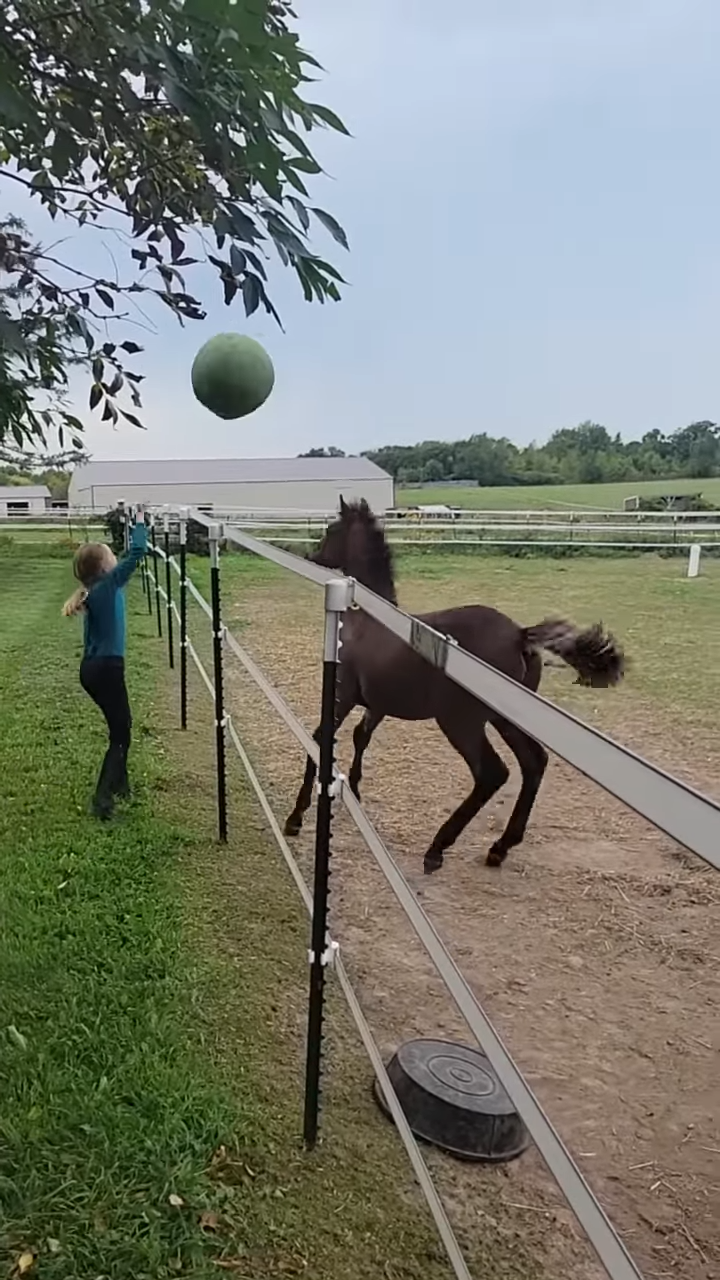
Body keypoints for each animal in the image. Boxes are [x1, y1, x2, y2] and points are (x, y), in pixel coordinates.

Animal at [281, 494, 622, 875]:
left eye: (332, 530)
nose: (313, 555)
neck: (370, 618)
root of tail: (520, 634)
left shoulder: (344, 695)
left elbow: (319, 737)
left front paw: (295, 817)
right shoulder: (378, 704)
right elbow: (360, 736)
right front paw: (353, 791)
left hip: (461, 721)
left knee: (493, 773)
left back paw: (437, 849)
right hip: (504, 719)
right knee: (534, 762)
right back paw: (500, 847)